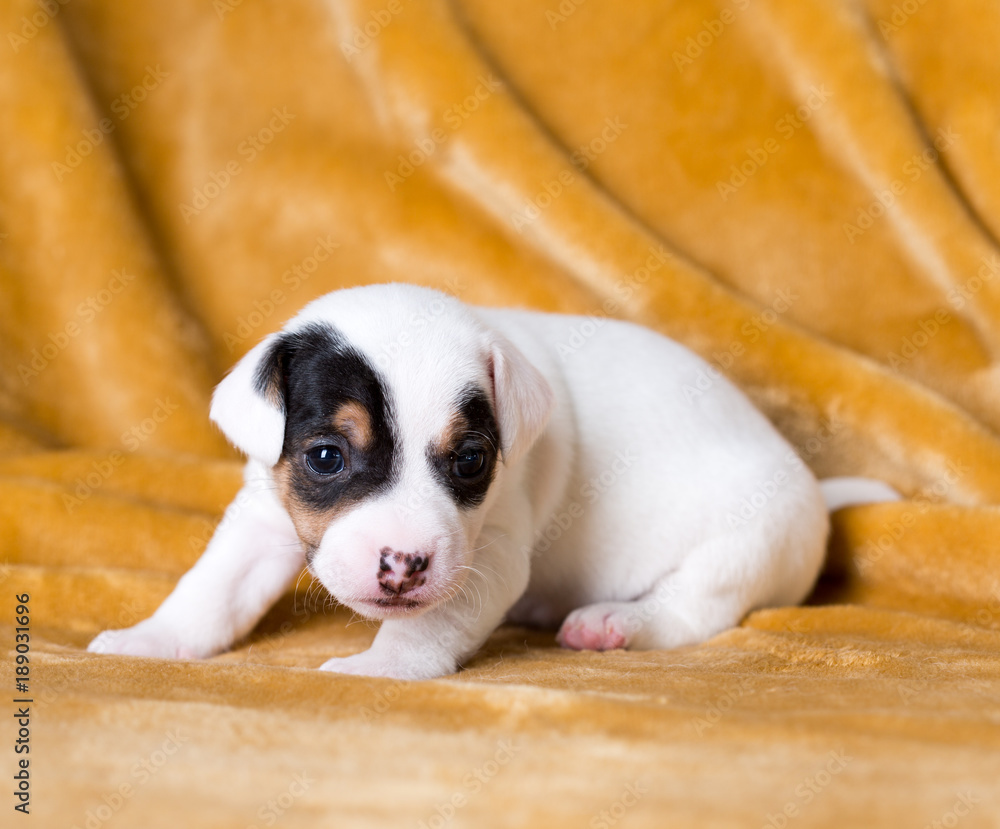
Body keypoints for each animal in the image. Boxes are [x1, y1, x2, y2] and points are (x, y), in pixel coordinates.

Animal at [88, 282, 900, 676]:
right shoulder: (263, 515)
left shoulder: (490, 553)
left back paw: (617, 622)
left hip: (744, 545)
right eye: (325, 457)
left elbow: (427, 623)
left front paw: (383, 666)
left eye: (471, 459)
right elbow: (214, 588)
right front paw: (154, 638)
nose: (403, 564)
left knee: (692, 610)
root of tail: (814, 491)